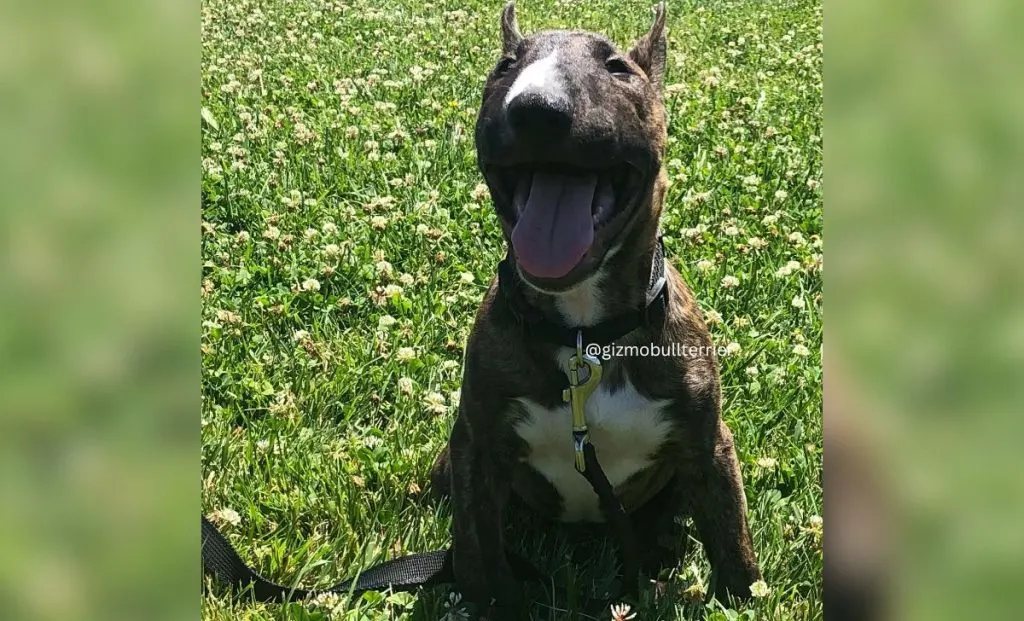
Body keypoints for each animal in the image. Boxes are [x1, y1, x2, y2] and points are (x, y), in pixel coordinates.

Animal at [432, 2, 761, 618]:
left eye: (616, 68)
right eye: (506, 65)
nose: (536, 110)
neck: (586, 334)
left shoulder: (709, 447)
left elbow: (733, 545)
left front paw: (742, 594)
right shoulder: (476, 449)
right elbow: (478, 551)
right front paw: (489, 597)